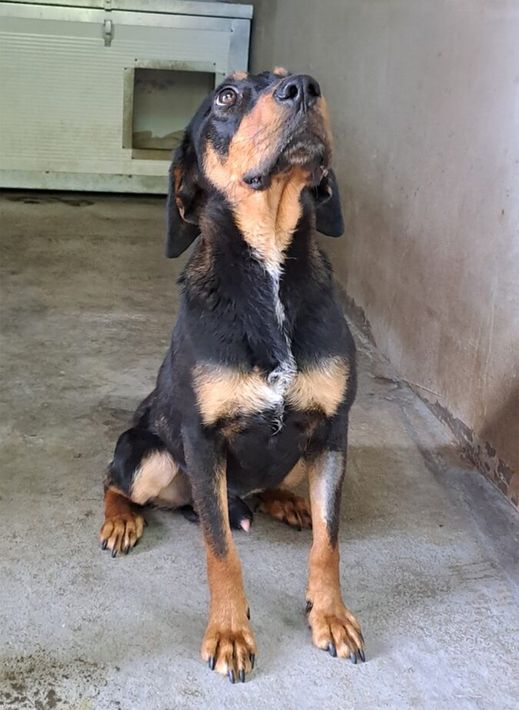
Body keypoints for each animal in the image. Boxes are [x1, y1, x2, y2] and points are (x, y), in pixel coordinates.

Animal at [99, 67, 365, 682]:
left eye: (297, 78)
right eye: (225, 96)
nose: (305, 88)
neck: (268, 267)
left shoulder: (334, 431)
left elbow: (329, 542)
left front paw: (331, 615)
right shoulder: (203, 443)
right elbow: (220, 551)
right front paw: (228, 631)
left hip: (304, 455)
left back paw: (285, 502)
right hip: (149, 455)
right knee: (116, 481)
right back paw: (121, 520)